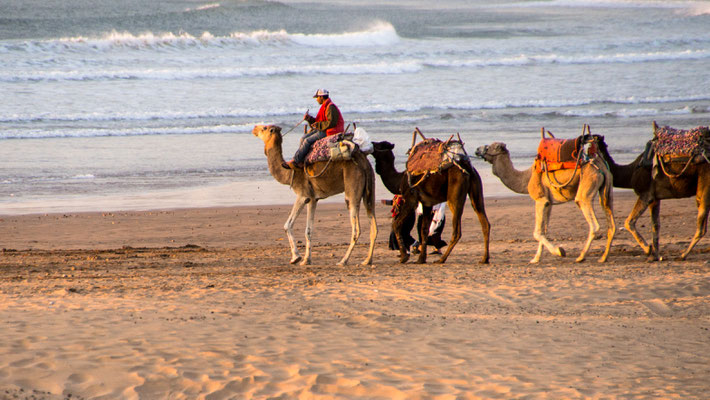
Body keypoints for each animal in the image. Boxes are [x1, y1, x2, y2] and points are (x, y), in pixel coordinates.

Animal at [254, 125, 382, 266]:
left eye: (264, 128)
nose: (254, 128)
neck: (289, 172)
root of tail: (365, 163)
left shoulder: (303, 195)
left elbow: (288, 225)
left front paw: (296, 257)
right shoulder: (313, 199)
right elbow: (308, 230)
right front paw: (306, 260)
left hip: (352, 187)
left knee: (356, 229)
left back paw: (343, 261)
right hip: (369, 189)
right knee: (374, 225)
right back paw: (367, 260)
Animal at [478, 139, 616, 264]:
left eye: (490, 147)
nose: (477, 150)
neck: (526, 177)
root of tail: (601, 166)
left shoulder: (540, 199)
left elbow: (537, 232)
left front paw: (559, 251)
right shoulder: (548, 203)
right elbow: (544, 231)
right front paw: (536, 259)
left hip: (586, 189)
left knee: (593, 223)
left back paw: (581, 257)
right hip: (607, 190)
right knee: (611, 223)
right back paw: (603, 258)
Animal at [596, 123, 710, 260]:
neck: (631, 172)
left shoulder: (646, 194)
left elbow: (629, 222)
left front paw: (648, 250)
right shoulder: (655, 198)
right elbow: (655, 226)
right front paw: (655, 256)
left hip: (704, 184)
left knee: (701, 225)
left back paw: (682, 255)